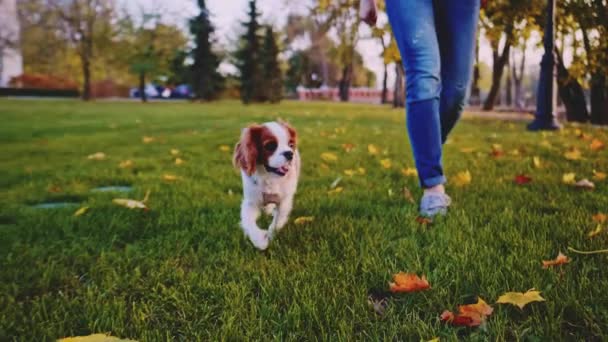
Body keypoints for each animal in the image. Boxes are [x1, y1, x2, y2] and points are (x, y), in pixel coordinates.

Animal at [233, 121, 300, 250]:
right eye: (270, 146)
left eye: (291, 144)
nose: (290, 153)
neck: (269, 177)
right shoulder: (250, 202)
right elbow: (249, 222)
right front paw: (259, 240)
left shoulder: (284, 202)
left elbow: (277, 221)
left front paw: (270, 235)